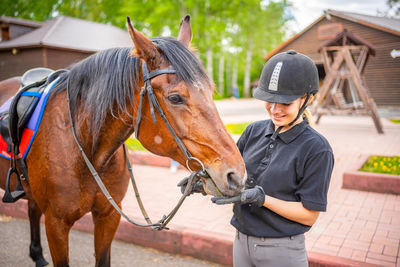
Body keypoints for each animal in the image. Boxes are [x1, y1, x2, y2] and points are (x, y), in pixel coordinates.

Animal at [0, 15, 247, 266]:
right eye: (175, 98)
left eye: (211, 90)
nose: (236, 174)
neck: (86, 149)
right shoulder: (56, 223)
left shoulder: (108, 216)